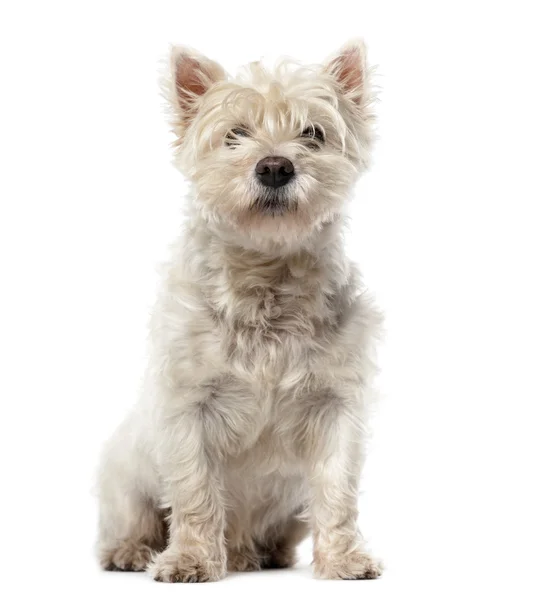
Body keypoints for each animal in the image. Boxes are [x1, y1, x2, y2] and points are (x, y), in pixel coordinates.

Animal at [97, 41, 386, 580]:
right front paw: (189, 559)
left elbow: (337, 491)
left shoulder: (337, 404)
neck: (267, 275)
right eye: (235, 134)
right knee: (133, 517)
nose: (274, 167)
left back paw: (254, 554)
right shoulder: (187, 408)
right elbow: (194, 490)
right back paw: (133, 551)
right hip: (124, 471)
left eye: (312, 133)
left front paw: (345, 559)